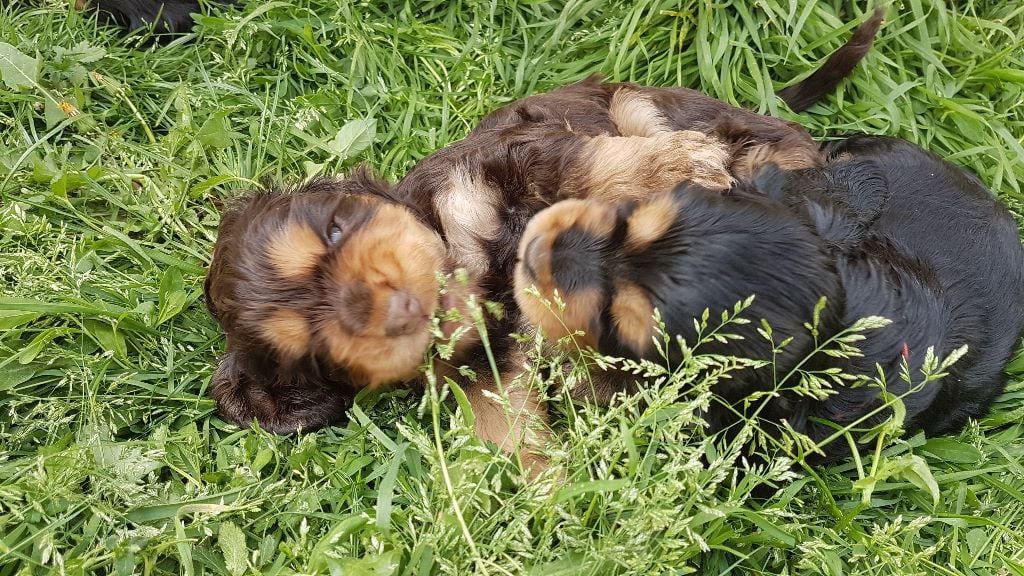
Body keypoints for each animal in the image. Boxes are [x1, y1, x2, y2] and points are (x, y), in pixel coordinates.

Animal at [204, 11, 883, 469]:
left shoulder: (516, 158)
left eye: (336, 229)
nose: (399, 307)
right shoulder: (478, 368)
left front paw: (679, 166)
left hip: (652, 105)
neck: (465, 262)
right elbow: (507, 428)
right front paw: (552, 496)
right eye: (319, 349)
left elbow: (597, 167)